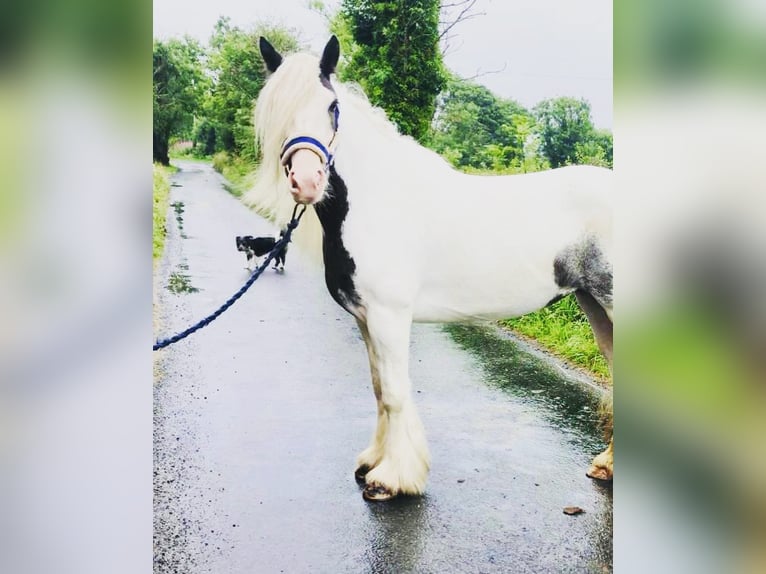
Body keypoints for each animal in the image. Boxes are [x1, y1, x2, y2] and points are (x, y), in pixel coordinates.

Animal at [249, 37, 616, 504]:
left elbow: (394, 393)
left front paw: (390, 479)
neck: (377, 201)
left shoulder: (389, 317)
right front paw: (373, 461)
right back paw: (607, 466)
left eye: (332, 106)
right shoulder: (366, 320)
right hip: (596, 307)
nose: (307, 182)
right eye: (275, 108)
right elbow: (378, 389)